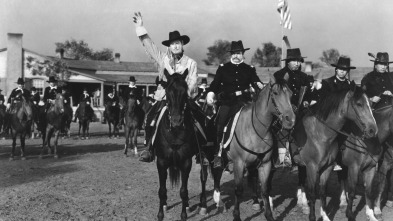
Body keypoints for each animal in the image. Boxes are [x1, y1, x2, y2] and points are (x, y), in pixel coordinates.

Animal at [201, 76, 296, 221]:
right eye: (275, 93)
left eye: (290, 94)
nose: (290, 120)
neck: (256, 129)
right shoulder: (239, 163)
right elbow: (238, 190)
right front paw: (236, 216)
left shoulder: (265, 164)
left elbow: (264, 190)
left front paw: (268, 215)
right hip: (207, 154)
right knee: (208, 175)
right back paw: (210, 205)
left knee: (218, 174)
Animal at [290, 83, 376, 221]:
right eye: (359, 104)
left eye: (371, 104)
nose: (373, 130)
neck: (320, 134)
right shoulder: (312, 167)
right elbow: (313, 194)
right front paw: (312, 217)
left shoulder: (328, 167)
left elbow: (322, 193)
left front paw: (325, 216)